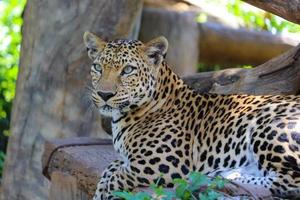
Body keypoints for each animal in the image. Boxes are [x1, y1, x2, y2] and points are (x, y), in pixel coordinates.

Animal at [83, 30, 300, 198]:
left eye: (128, 70)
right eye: (97, 67)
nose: (104, 94)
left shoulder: (163, 165)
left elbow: (117, 176)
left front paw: (105, 194)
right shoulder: (128, 159)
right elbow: (110, 169)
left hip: (270, 125)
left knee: (290, 182)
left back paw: (219, 177)